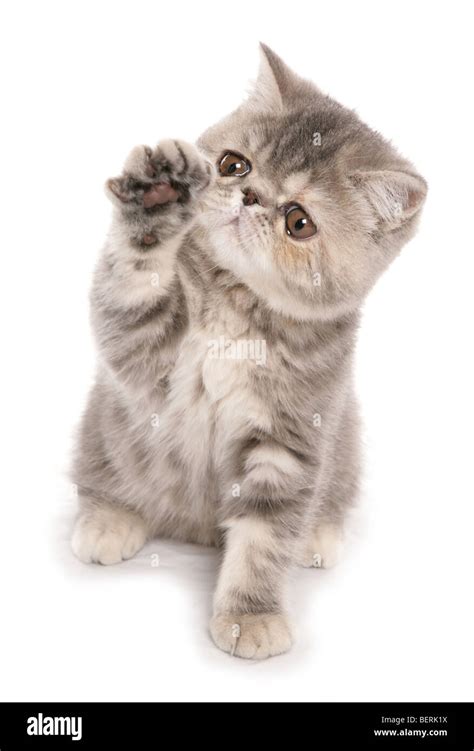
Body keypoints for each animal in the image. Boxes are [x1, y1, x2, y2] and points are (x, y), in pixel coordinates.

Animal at [70, 45, 426, 656]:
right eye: (234, 165)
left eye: (299, 222)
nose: (251, 196)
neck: (235, 307)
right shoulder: (143, 356)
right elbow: (132, 286)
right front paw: (155, 201)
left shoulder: (292, 437)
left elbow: (264, 535)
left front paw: (251, 616)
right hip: (104, 427)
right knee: (101, 479)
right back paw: (107, 521)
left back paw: (318, 534)